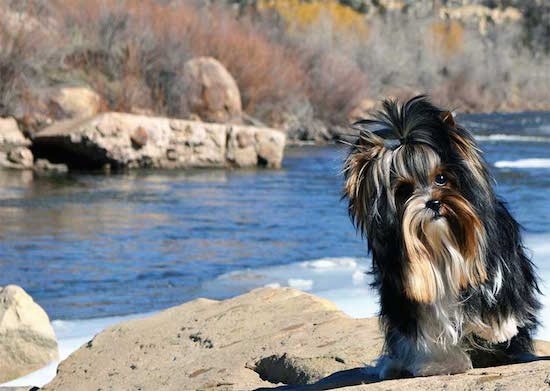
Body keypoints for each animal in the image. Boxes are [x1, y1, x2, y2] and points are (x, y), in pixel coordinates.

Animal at [344, 95, 544, 380]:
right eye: (403, 190)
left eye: (441, 178)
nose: (434, 203)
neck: (441, 244)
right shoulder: (406, 297)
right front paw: (440, 364)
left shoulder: (501, 263)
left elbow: (497, 294)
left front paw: (499, 327)